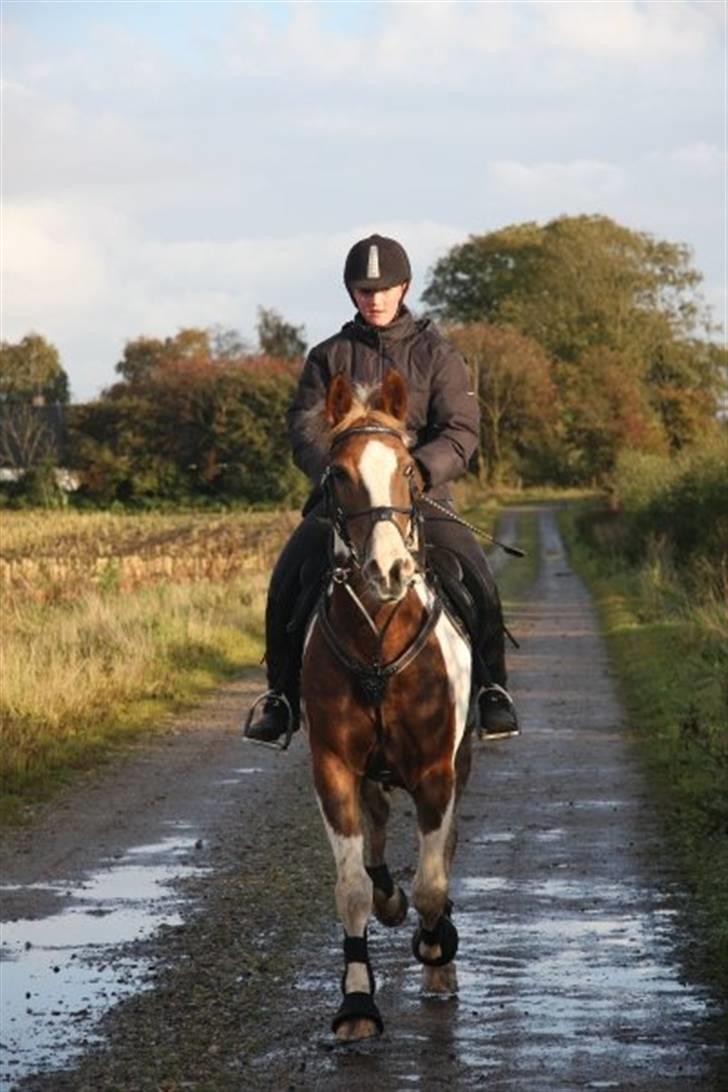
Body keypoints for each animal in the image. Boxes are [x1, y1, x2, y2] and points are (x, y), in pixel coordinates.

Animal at [301, 373, 475, 1039]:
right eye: (338, 474)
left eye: (406, 467)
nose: (388, 570)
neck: (377, 631)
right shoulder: (332, 768)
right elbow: (351, 887)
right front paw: (356, 1003)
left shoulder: (435, 770)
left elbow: (432, 881)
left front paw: (436, 948)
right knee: (374, 838)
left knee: (442, 852)